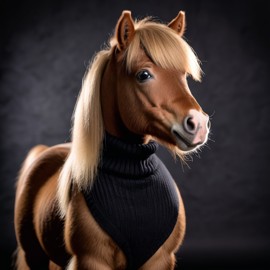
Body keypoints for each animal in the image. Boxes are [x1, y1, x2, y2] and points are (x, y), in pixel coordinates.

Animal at [13, 10, 210, 270]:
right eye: (144, 75)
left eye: (184, 75)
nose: (198, 124)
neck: (131, 170)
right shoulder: (92, 260)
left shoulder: (159, 259)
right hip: (33, 256)